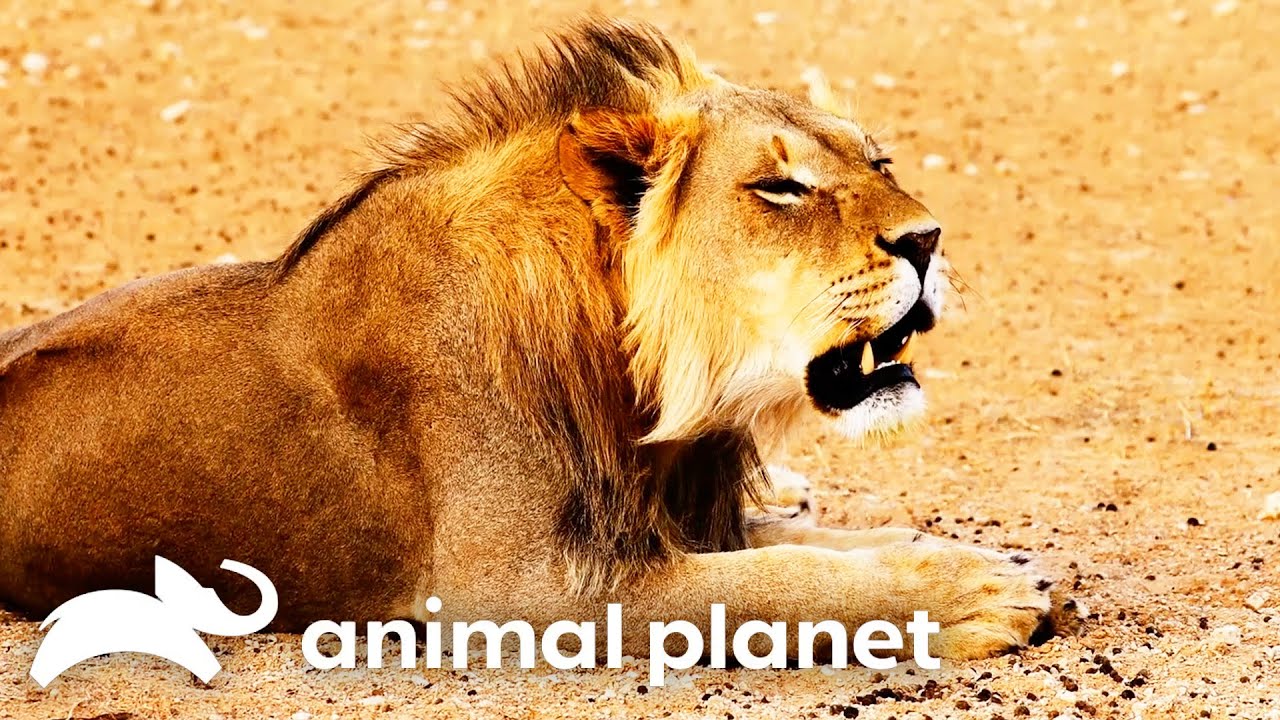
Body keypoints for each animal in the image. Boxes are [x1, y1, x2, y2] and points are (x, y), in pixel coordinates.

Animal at [0, 17, 1055, 663]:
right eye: (781, 188)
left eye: (880, 161)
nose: (929, 239)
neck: (640, 391)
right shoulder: (526, 592)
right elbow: (783, 584)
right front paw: (969, 594)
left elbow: (811, 543)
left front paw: (982, 562)